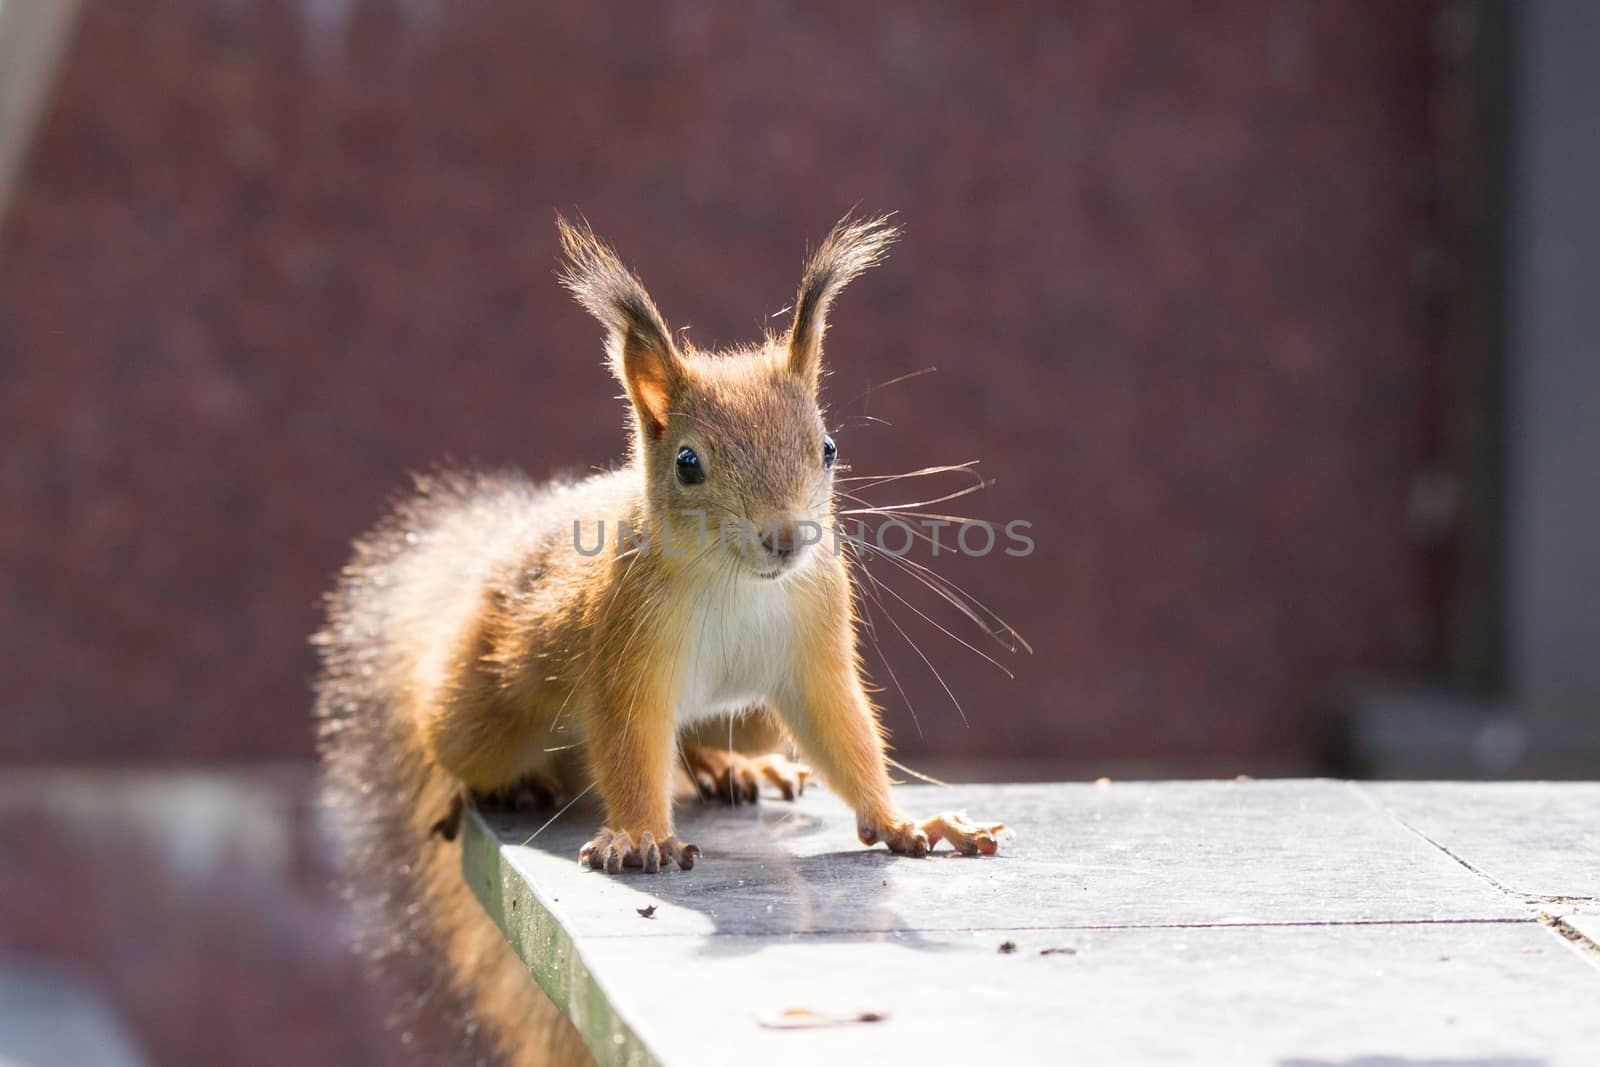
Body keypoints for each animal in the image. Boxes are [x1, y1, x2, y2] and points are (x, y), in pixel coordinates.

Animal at [313, 217, 1004, 1067]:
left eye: (829, 447)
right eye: (688, 462)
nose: (785, 539)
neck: (739, 580)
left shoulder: (816, 640)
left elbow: (842, 732)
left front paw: (909, 822)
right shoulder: (625, 644)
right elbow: (630, 742)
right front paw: (639, 837)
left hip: (754, 715)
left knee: (713, 740)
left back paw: (736, 766)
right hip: (471, 715)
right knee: (468, 747)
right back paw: (515, 782)